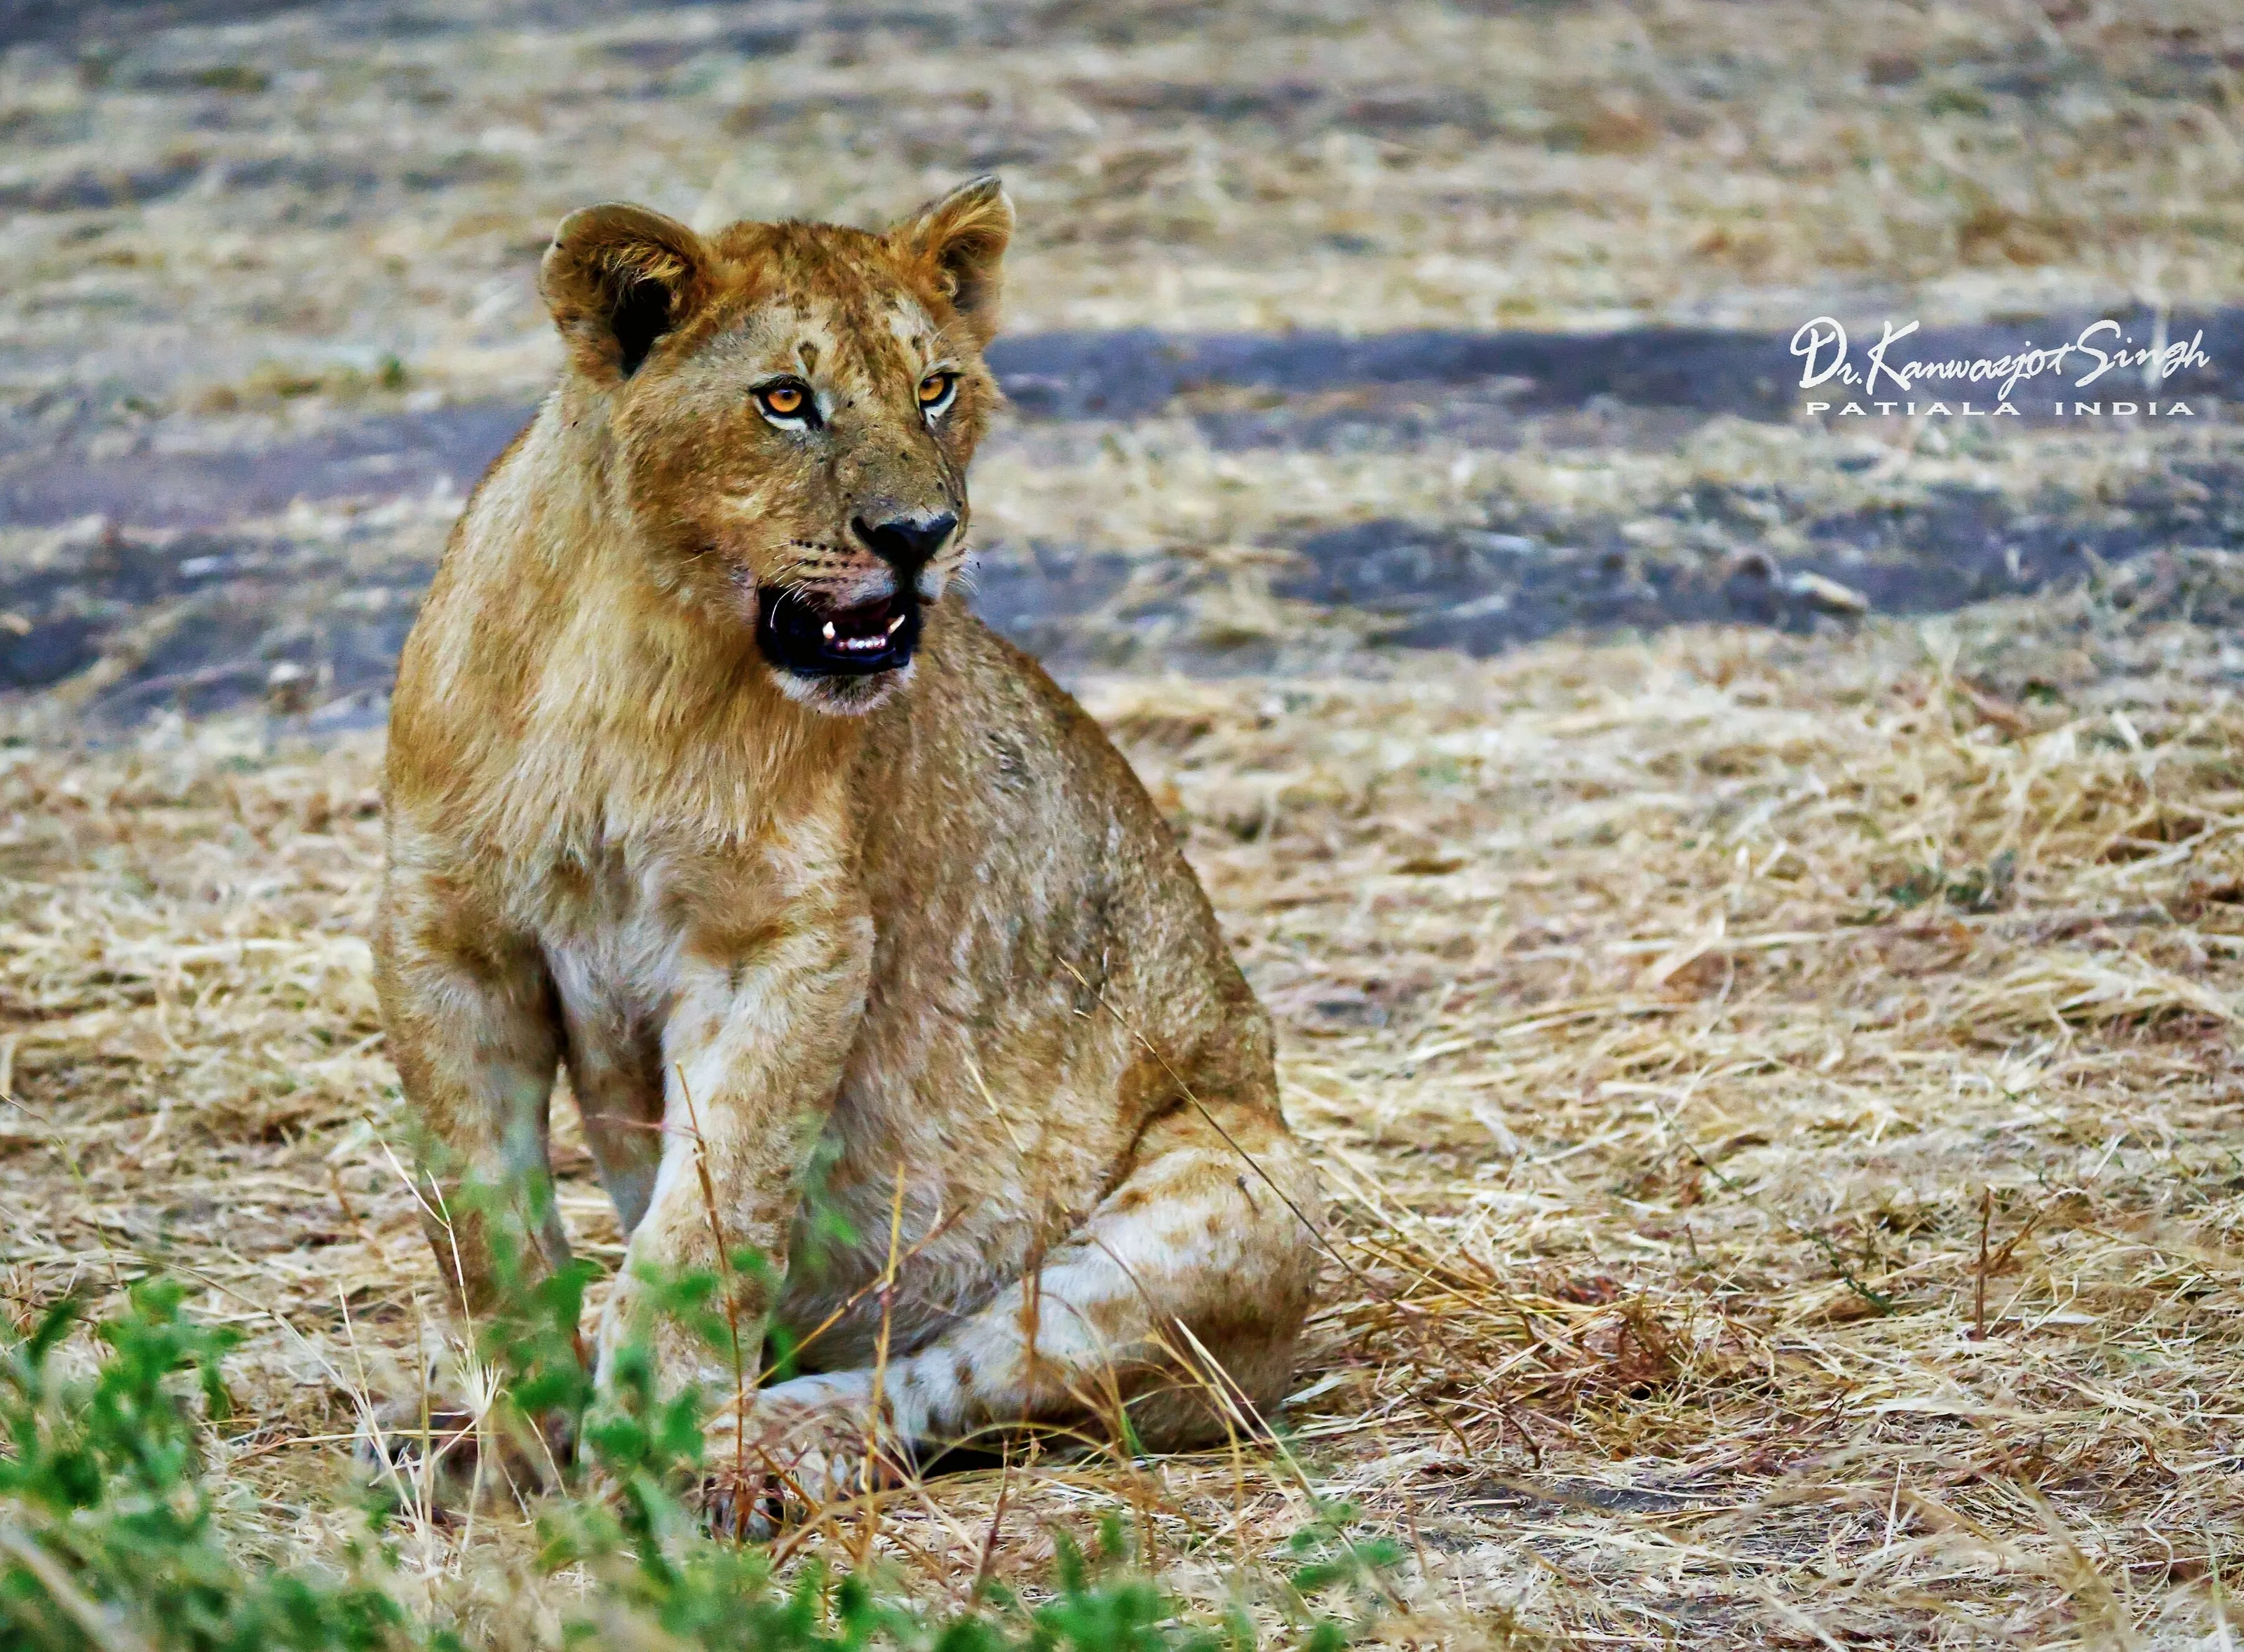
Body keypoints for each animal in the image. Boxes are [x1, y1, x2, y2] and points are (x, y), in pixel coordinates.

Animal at [372, 177, 1323, 1523]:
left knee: (941, 1376)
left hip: (1242, 1192)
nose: (920, 533)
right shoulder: (446, 936)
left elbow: (713, 1220)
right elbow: (484, 1232)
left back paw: (768, 1451)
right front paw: (513, 1449)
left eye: (935, 387)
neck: (635, 656)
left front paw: (656, 1443)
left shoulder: (787, 943)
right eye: (784, 399)